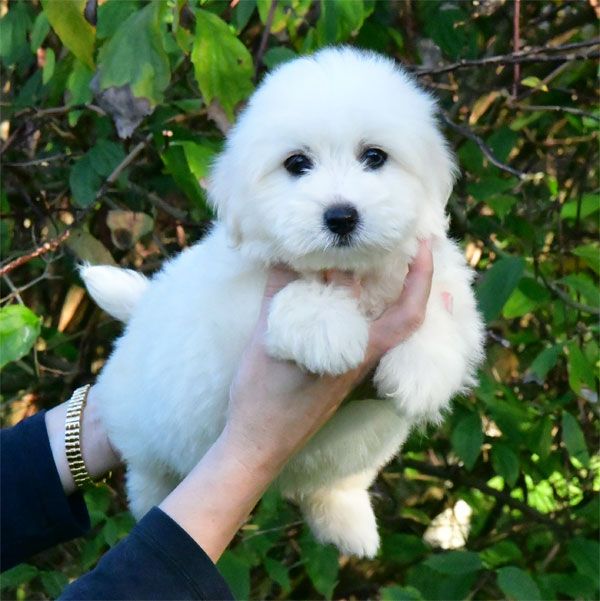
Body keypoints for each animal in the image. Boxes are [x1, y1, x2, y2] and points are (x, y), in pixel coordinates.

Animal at [81, 47, 482, 556]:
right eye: (296, 164)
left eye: (374, 157)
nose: (341, 216)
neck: (351, 271)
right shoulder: (232, 326)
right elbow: (293, 293)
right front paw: (329, 328)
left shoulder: (444, 286)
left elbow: (441, 316)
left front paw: (421, 371)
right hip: (143, 421)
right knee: (146, 470)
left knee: (338, 482)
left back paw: (348, 523)